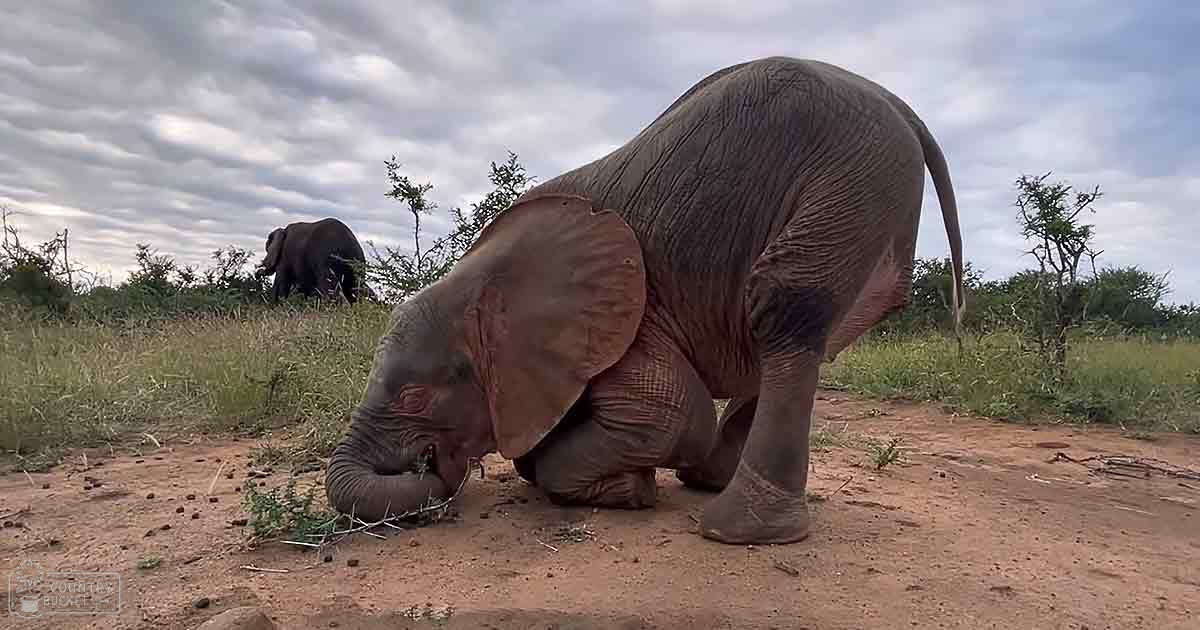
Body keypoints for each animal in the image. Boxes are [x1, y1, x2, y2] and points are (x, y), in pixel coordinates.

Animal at [324, 56, 966, 545]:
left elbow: (674, 415)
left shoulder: (628, 326)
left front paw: (632, 490)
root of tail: (890, 97)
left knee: (785, 305)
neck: (484, 278)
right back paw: (708, 482)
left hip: (853, 173)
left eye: (414, 396)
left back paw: (738, 529)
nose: (433, 474)